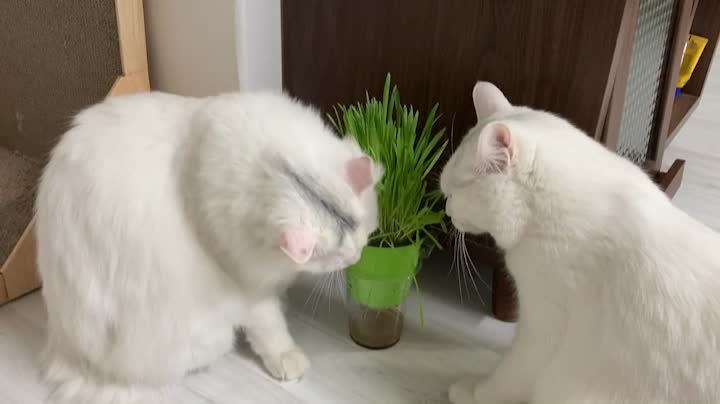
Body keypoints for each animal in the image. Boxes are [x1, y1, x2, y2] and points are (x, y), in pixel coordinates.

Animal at [35, 91, 382, 404]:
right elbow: (271, 328)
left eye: (361, 231)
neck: (271, 169)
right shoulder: (248, 289)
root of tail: (66, 349)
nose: (355, 256)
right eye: (335, 256)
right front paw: (287, 357)